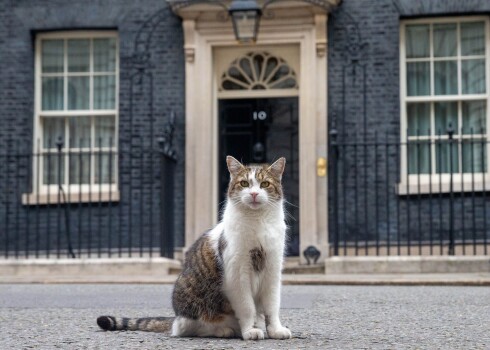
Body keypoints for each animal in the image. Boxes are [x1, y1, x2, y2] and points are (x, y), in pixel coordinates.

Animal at [97, 155, 292, 340]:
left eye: (265, 184)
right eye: (244, 183)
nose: (253, 194)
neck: (258, 223)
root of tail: (175, 317)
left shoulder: (272, 271)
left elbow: (272, 306)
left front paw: (275, 330)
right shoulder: (237, 274)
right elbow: (247, 307)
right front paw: (250, 331)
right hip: (192, 302)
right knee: (188, 328)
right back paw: (223, 330)